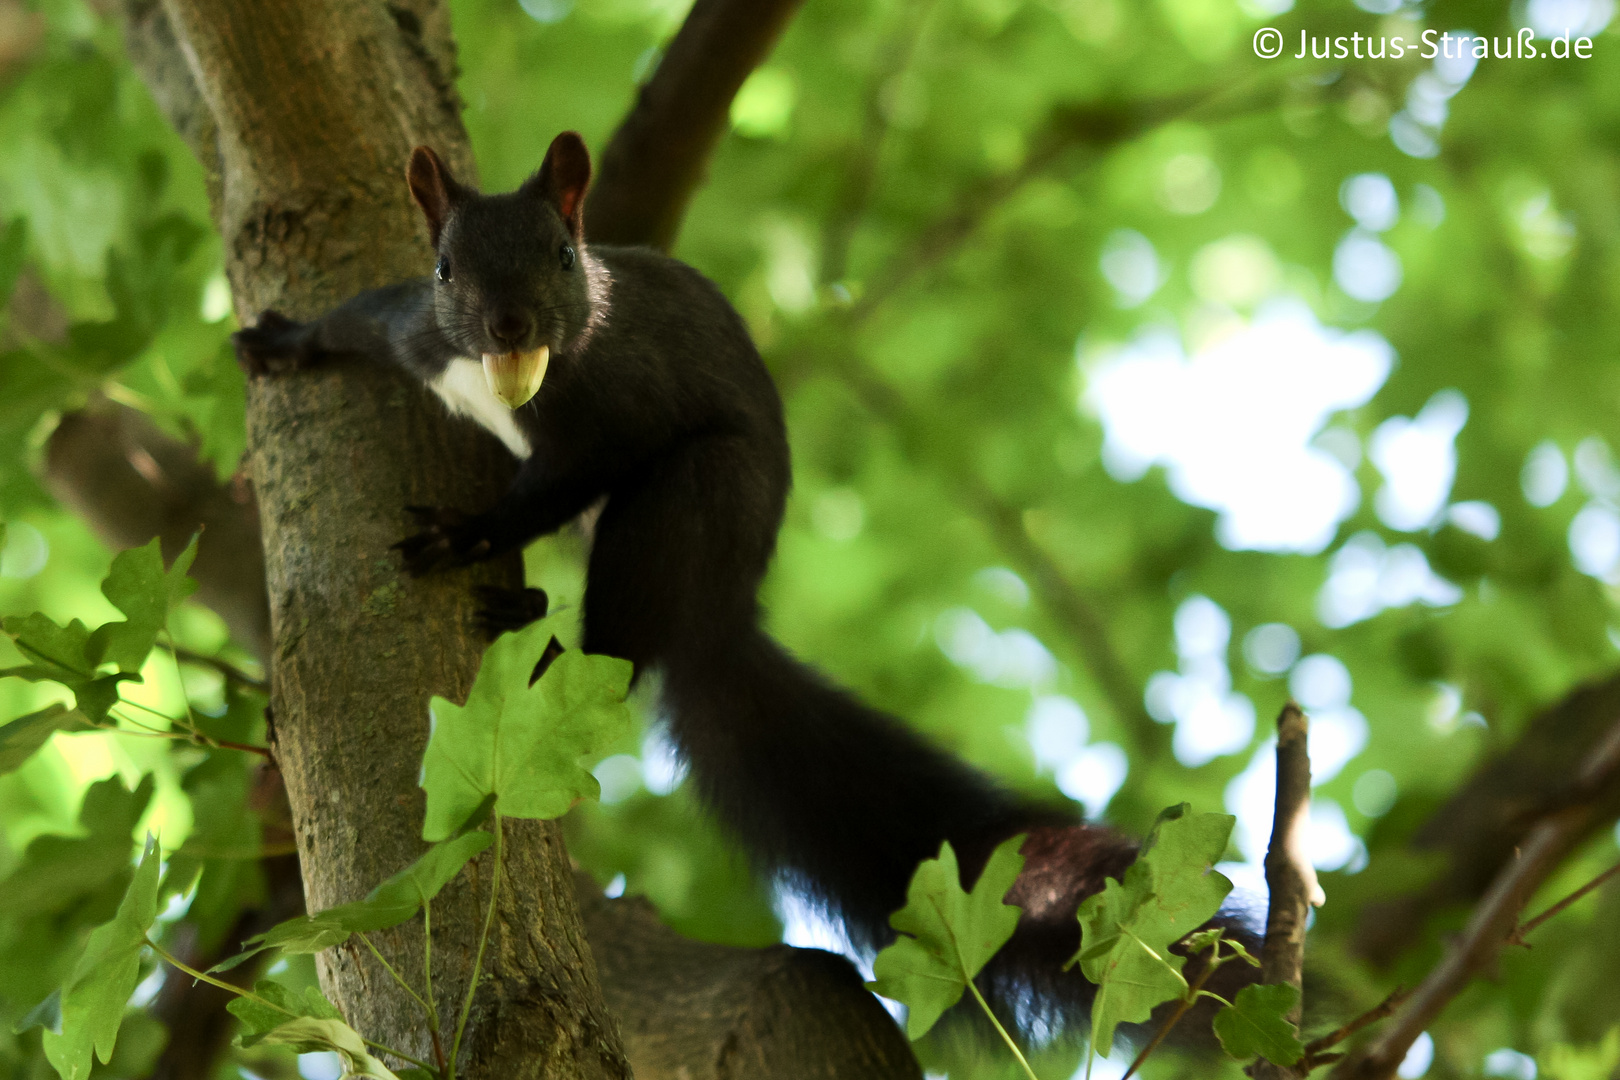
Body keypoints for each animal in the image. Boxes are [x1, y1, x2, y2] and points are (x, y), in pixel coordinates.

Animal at [231, 131, 1192, 1036]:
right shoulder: (416, 333)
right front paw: (284, 340)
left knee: (623, 646)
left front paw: (467, 533)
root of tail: (722, 611)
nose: (508, 324)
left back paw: (548, 646)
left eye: (563, 256)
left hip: (690, 510)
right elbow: (361, 320)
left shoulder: (610, 414)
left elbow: (557, 485)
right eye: (445, 268)